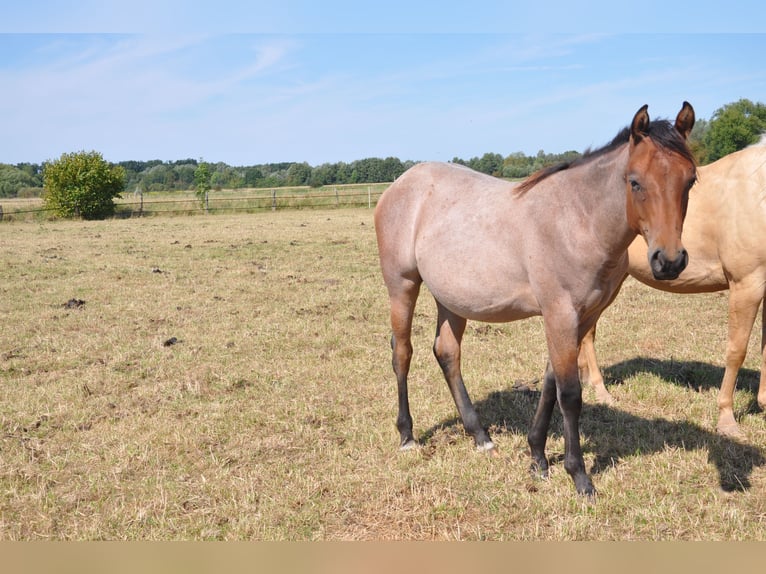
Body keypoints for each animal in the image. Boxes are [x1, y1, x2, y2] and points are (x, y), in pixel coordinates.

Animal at [374, 102, 697, 496]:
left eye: (690, 180)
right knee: (402, 353)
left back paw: (480, 436)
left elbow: (550, 384)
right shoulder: (560, 314)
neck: (578, 220)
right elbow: (570, 394)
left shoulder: (581, 318)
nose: (669, 261)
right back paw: (407, 435)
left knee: (447, 353)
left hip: (451, 298)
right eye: (634, 181)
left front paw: (538, 458)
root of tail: (401, 183)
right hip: (402, 285)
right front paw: (579, 475)